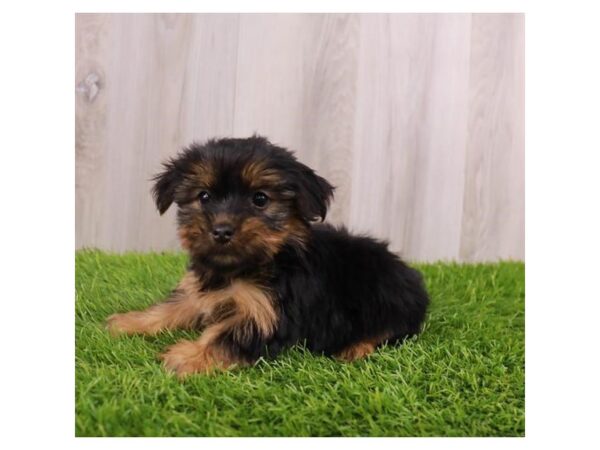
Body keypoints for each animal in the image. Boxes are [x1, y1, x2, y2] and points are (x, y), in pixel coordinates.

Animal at [106, 136, 426, 376]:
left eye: (260, 199)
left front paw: (188, 355)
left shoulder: (268, 313)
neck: (242, 267)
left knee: (393, 329)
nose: (221, 230)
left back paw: (356, 347)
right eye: (204, 196)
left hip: (388, 300)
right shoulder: (198, 292)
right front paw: (131, 322)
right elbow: (173, 306)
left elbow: (227, 335)